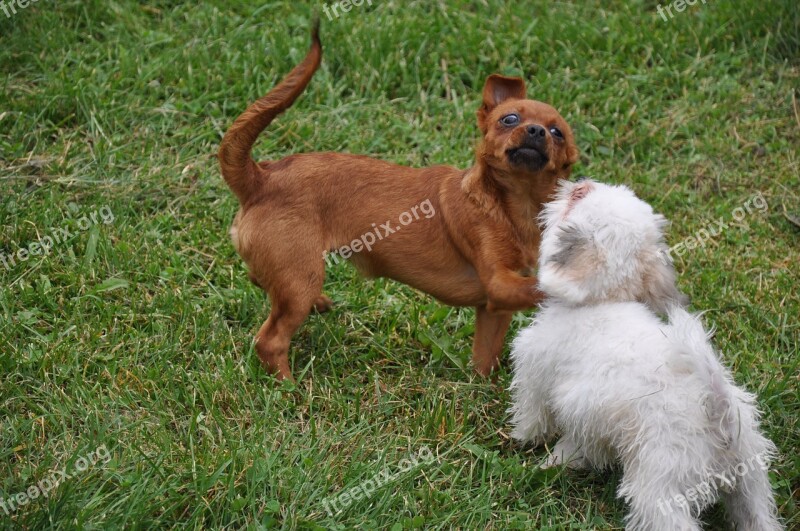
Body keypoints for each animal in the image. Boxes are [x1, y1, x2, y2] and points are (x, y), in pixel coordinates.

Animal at [219, 26, 580, 382]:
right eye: (509, 119)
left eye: (557, 133)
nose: (535, 131)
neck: (511, 206)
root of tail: (261, 177)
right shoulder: (500, 284)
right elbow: (538, 287)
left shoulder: (495, 308)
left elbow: (484, 359)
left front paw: (483, 387)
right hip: (298, 280)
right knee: (270, 341)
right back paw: (289, 388)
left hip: (292, 273)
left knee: (261, 284)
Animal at [510, 180, 780, 531]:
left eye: (578, 198)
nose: (582, 183)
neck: (603, 300)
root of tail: (717, 411)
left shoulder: (535, 373)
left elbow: (532, 415)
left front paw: (523, 441)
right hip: (751, 484)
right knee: (759, 517)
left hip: (659, 488)